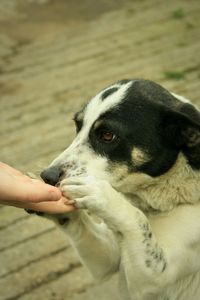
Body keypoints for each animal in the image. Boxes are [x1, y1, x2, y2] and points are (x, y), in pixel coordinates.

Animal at [30, 79, 200, 300]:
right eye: (77, 125)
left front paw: (99, 193)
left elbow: (136, 217)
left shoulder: (154, 277)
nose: (47, 177)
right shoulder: (109, 258)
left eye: (108, 135)